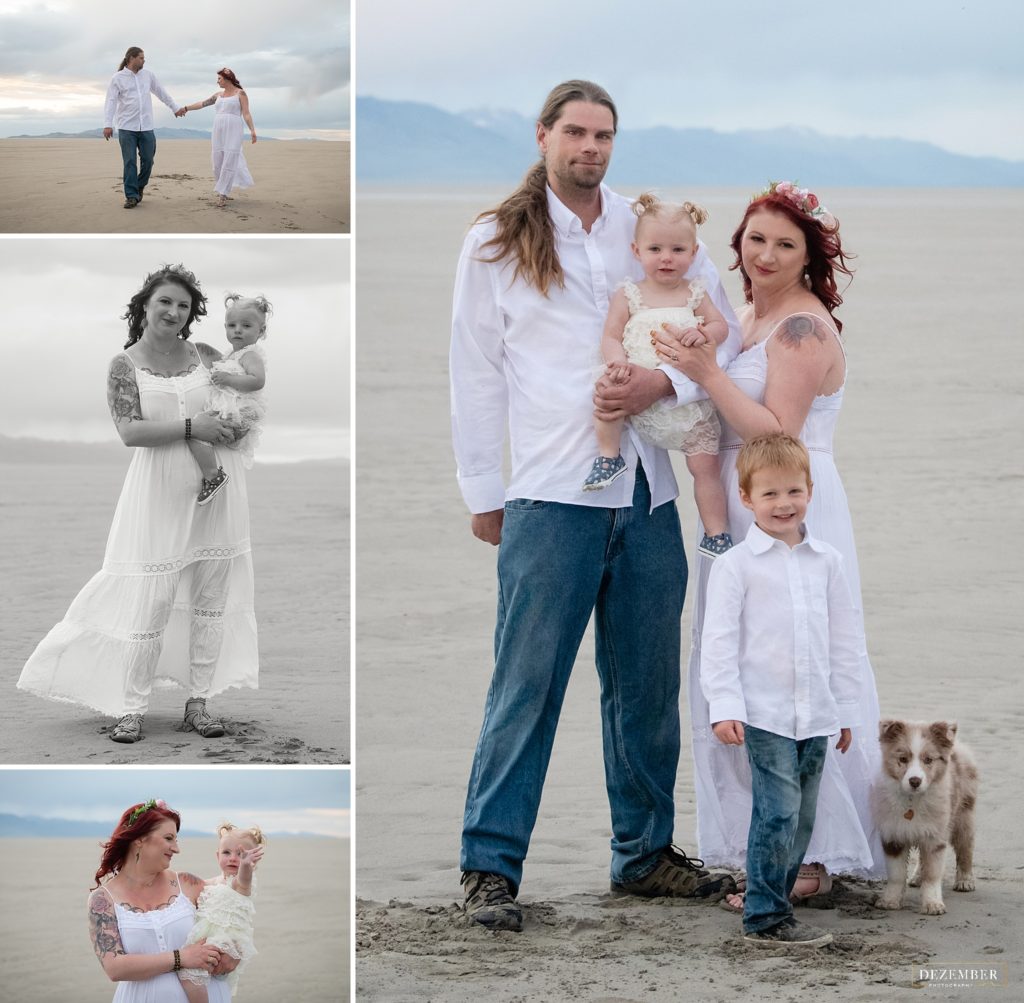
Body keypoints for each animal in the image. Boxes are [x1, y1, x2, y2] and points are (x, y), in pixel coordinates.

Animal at [872, 721, 974, 917]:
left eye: (928, 760)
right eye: (903, 759)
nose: (915, 781)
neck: (912, 801)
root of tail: (957, 747)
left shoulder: (936, 835)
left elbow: (932, 874)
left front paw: (933, 904)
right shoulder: (893, 834)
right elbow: (896, 873)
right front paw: (889, 901)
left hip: (962, 815)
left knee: (965, 848)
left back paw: (965, 881)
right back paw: (917, 877)